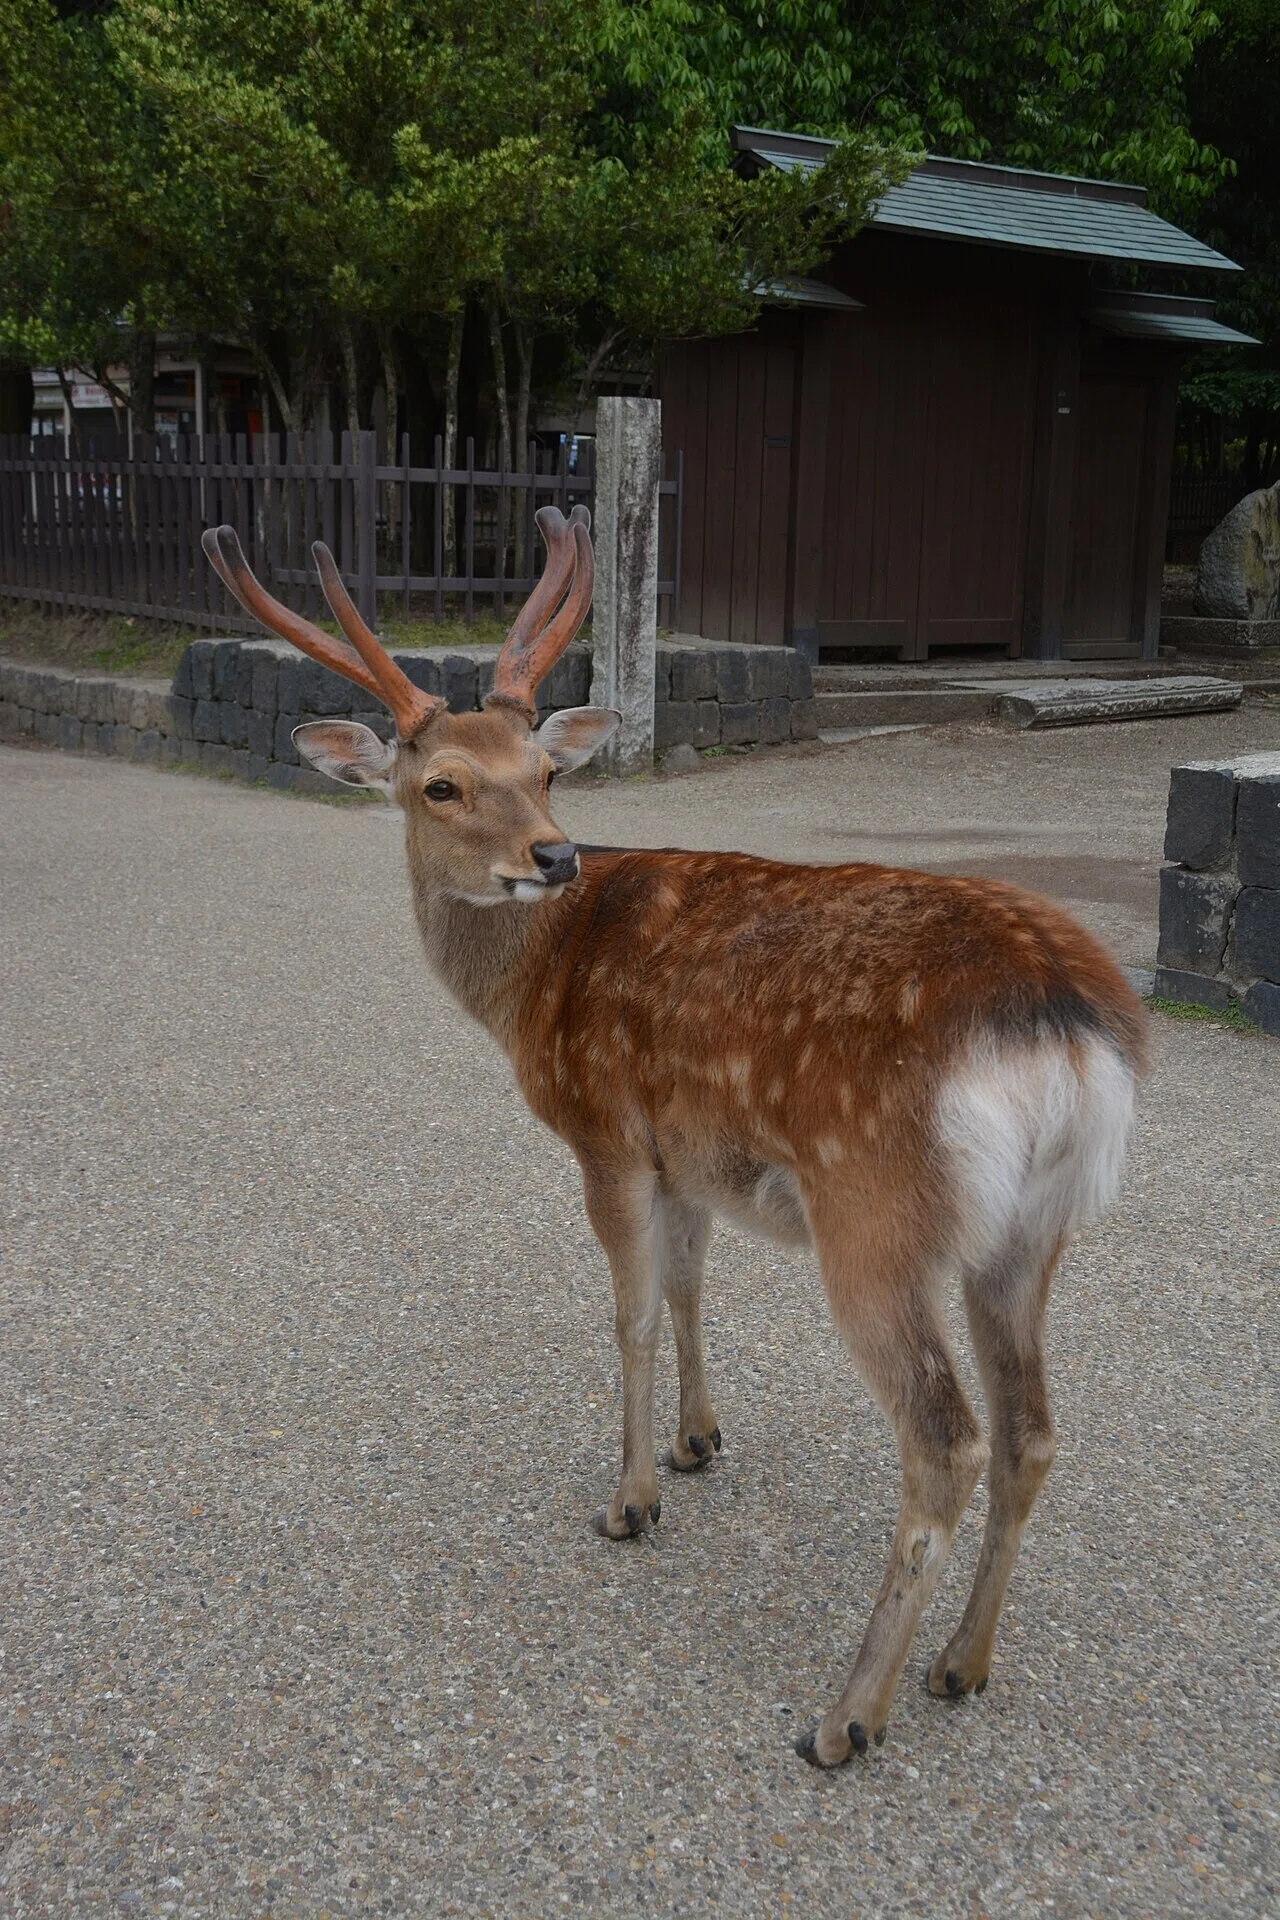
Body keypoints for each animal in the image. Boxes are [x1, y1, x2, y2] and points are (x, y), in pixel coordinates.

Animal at [201, 508, 1146, 1769]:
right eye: (443, 784)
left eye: (546, 772)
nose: (552, 857)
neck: (531, 991)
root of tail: (1064, 1027)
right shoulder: (687, 1155)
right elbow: (695, 1289)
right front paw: (701, 1443)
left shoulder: (602, 1133)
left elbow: (633, 1315)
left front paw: (631, 1500)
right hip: (1032, 1233)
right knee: (1030, 1433)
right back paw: (960, 1663)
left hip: (876, 1211)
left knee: (945, 1439)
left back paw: (845, 1715)